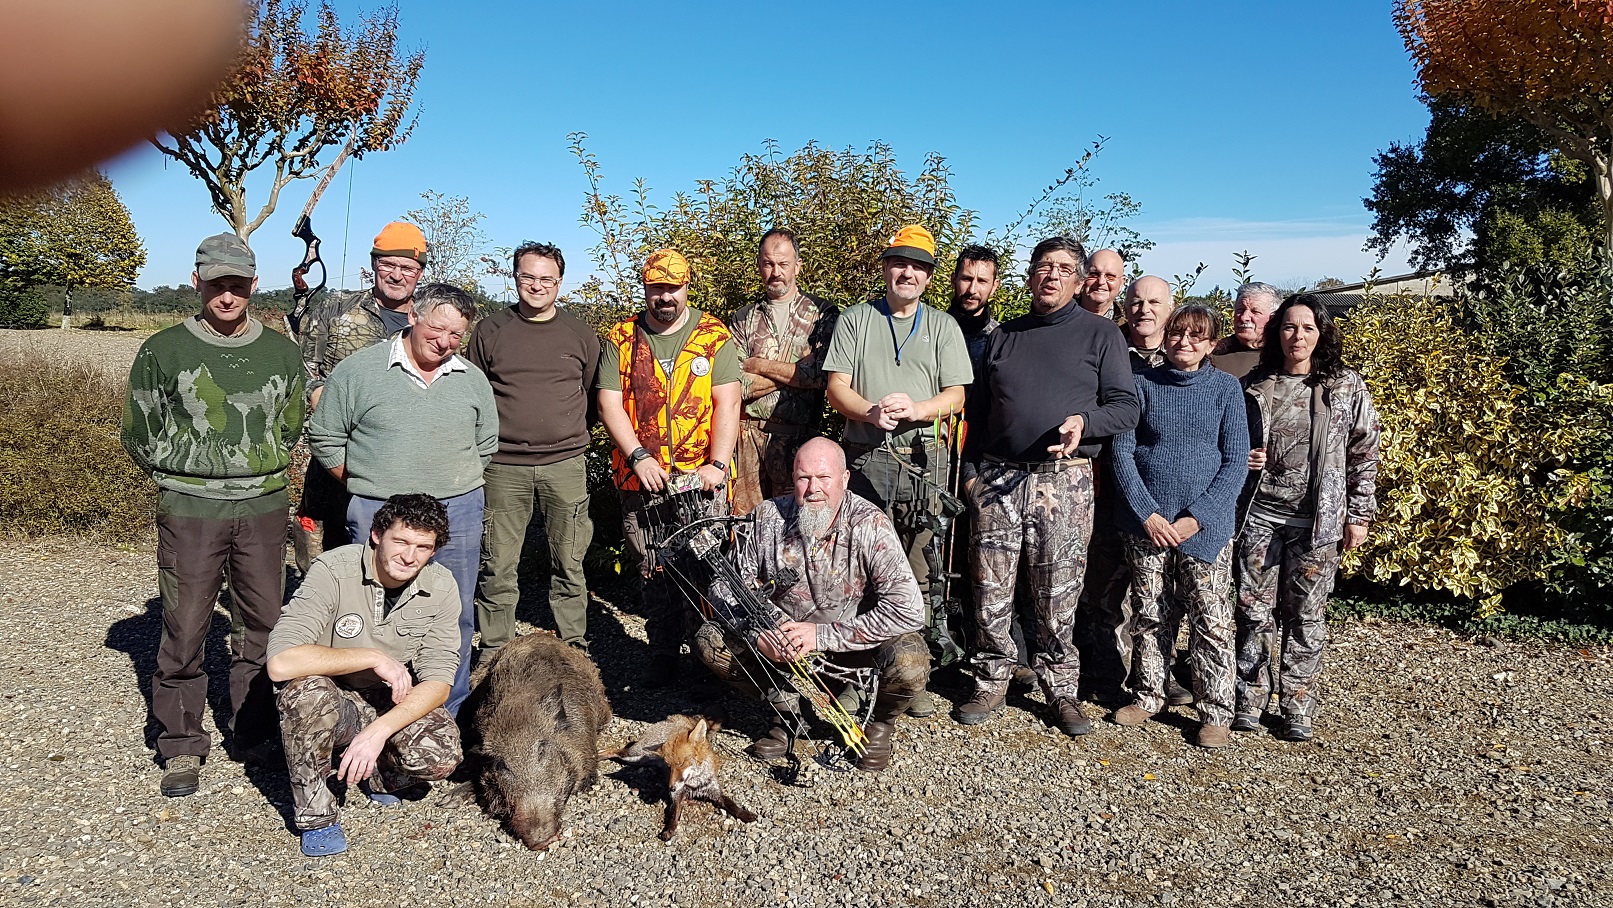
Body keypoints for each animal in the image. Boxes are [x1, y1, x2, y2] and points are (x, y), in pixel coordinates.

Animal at [603, 712, 758, 845]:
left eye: (681, 764)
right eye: (668, 766)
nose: (670, 787)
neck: (695, 783)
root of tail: (674, 719)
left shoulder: (715, 792)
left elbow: (731, 804)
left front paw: (745, 814)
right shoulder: (676, 795)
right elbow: (674, 814)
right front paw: (669, 830)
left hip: (635, 760)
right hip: (633, 755)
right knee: (614, 750)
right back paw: (599, 756)